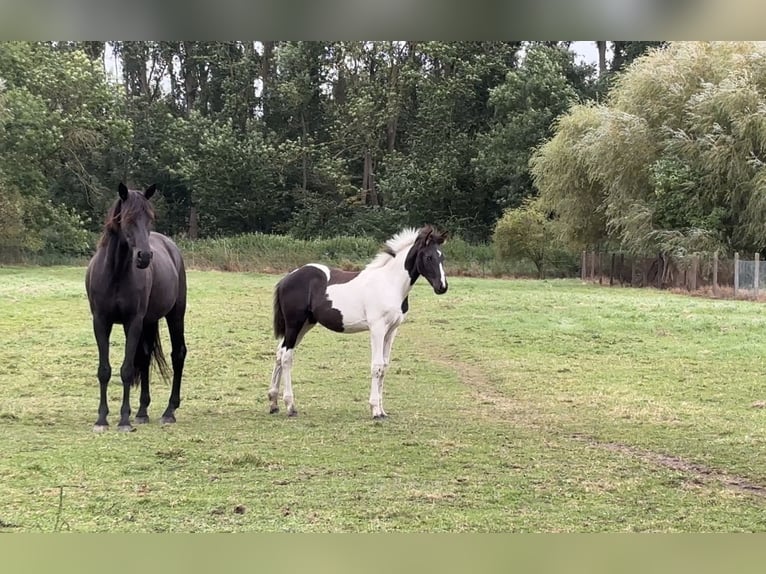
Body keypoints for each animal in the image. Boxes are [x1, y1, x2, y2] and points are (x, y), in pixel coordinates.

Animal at [85, 184, 188, 432]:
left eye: (150, 217)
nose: (145, 256)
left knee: (178, 354)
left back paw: (169, 411)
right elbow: (105, 370)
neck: (115, 272)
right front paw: (102, 419)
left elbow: (127, 369)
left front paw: (123, 420)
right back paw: (142, 412)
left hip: (175, 315)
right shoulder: (101, 322)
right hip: (149, 321)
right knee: (145, 357)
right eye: (128, 218)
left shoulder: (133, 322)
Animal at [270, 227, 450, 420]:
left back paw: (273, 403)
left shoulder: (391, 330)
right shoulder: (377, 328)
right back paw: (290, 406)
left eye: (442, 257)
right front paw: (375, 410)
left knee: (279, 353)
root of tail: (287, 278)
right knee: (287, 357)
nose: (442, 287)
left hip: (305, 325)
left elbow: (385, 366)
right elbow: (376, 366)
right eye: (429, 257)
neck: (390, 284)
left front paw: (383, 410)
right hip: (294, 324)